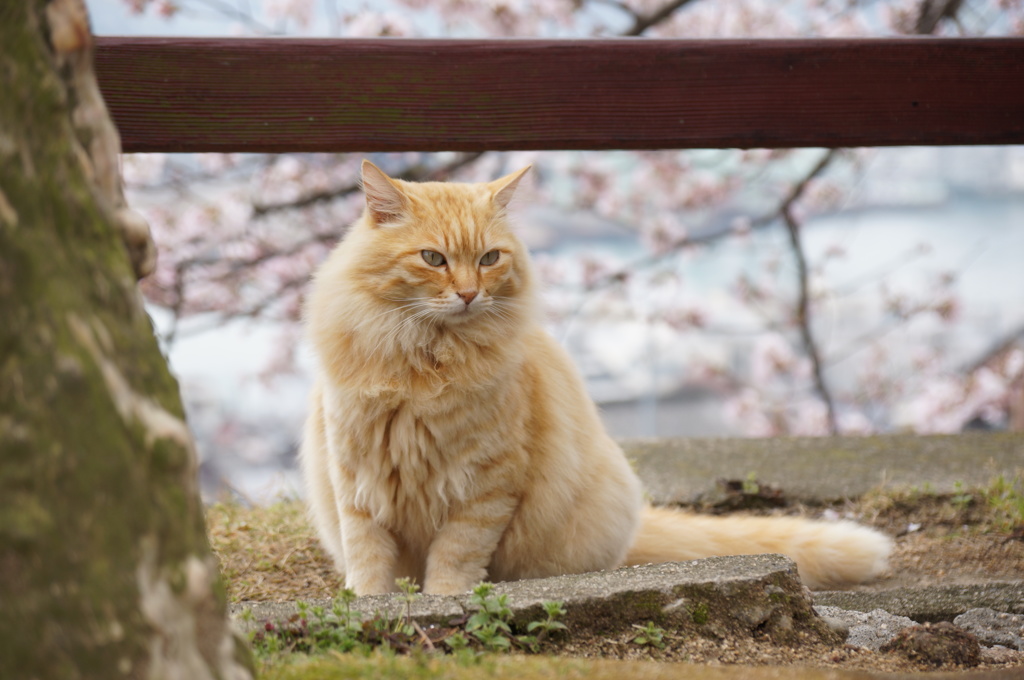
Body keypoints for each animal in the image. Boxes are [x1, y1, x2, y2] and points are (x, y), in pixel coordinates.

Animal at [299, 160, 892, 593]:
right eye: (433, 258)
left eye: (489, 258)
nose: (469, 294)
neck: (428, 360)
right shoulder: (357, 481)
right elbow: (369, 560)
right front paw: (369, 604)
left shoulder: (485, 486)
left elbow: (454, 560)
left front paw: (443, 601)